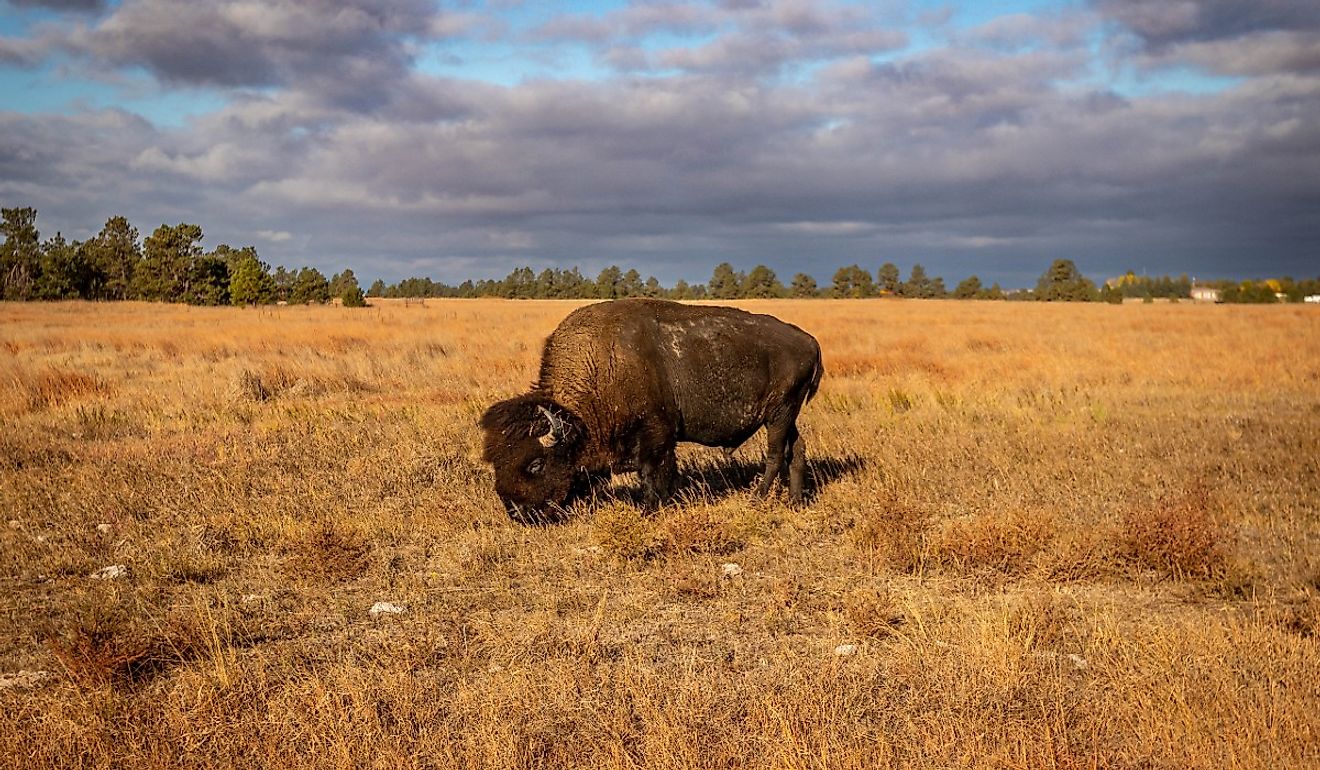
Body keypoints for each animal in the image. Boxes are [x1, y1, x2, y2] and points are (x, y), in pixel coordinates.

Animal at [480, 297, 818, 523]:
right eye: (495, 461)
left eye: (536, 464)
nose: (517, 512)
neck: (602, 364)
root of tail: (809, 340)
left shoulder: (656, 435)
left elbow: (654, 473)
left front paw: (650, 509)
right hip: (786, 416)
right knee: (797, 449)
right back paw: (795, 501)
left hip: (779, 413)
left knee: (775, 454)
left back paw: (757, 498)